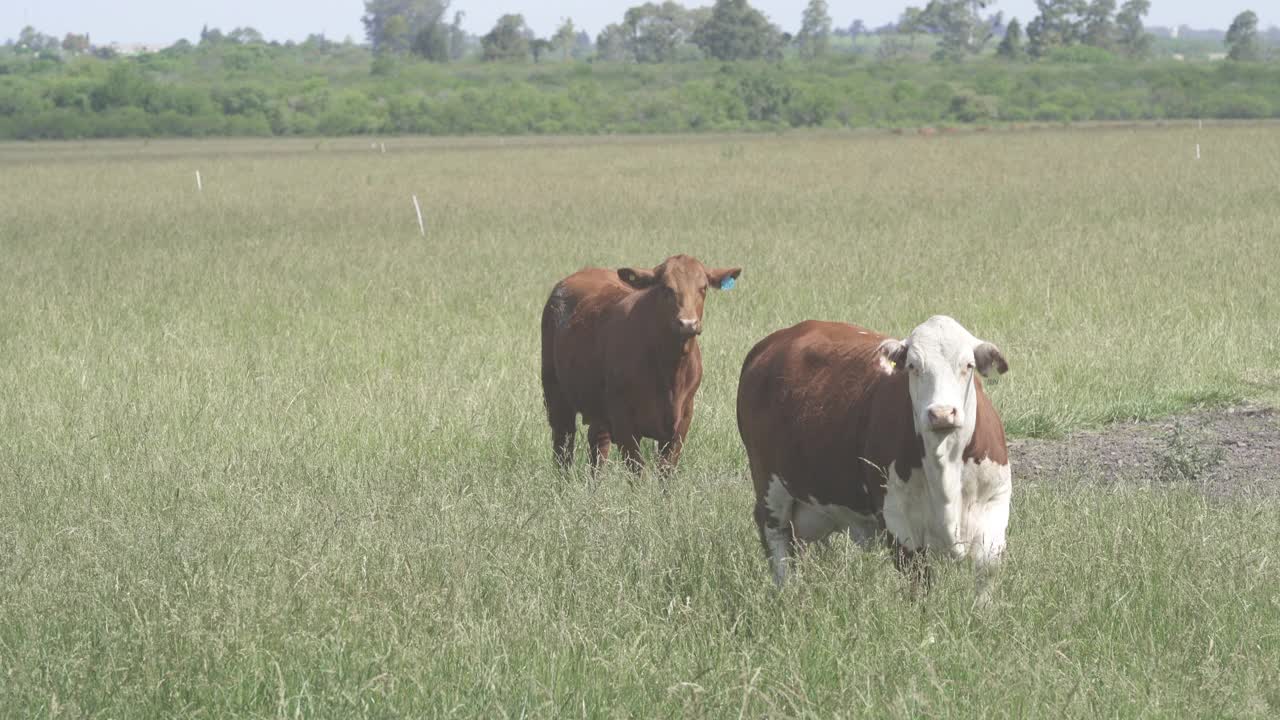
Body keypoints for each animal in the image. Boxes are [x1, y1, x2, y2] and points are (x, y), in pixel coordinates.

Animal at [540, 254, 742, 474]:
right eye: (666, 288)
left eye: (703, 287)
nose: (688, 323)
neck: (670, 372)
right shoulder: (623, 421)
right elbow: (638, 470)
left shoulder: (683, 420)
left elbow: (666, 469)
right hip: (555, 392)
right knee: (563, 442)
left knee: (598, 442)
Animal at [737, 313, 1013, 594]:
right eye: (912, 366)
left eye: (968, 365)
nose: (942, 413)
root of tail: (776, 340)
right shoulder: (898, 522)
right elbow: (917, 583)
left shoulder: (994, 508)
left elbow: (985, 576)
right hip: (769, 483)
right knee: (776, 538)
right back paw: (787, 591)